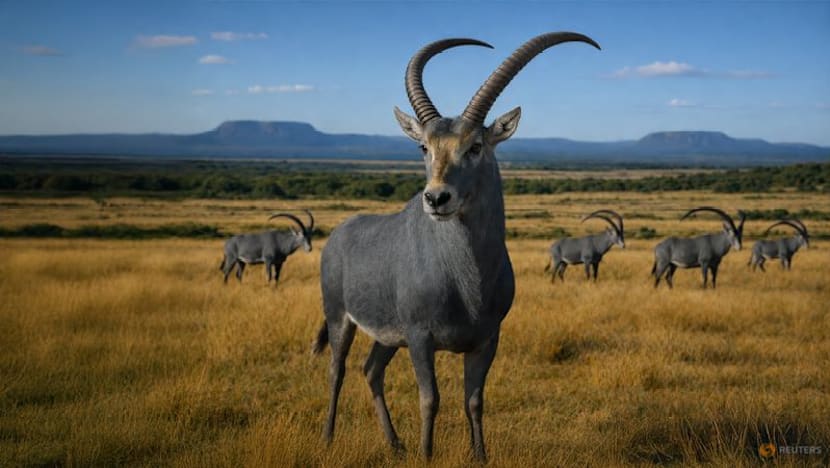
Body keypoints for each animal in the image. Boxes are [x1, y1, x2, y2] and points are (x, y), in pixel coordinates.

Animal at [311, 32, 600, 460]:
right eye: (424, 147)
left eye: (476, 145)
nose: (436, 199)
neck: (467, 280)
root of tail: (339, 234)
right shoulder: (420, 338)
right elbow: (430, 399)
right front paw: (426, 455)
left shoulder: (486, 339)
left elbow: (474, 400)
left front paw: (480, 456)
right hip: (339, 318)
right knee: (338, 369)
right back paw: (329, 438)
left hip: (386, 337)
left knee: (371, 370)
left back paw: (395, 444)